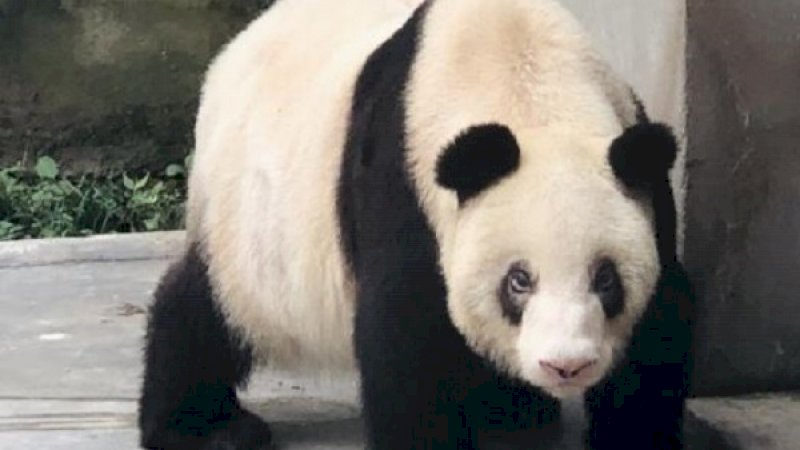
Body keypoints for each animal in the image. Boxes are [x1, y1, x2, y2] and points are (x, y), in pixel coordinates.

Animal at [138, 0, 694, 449]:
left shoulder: (644, 186)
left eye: (606, 279)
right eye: (519, 280)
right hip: (251, 217)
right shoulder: (404, 184)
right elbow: (405, 336)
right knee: (209, 308)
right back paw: (205, 427)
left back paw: (512, 414)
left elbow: (658, 328)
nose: (566, 365)